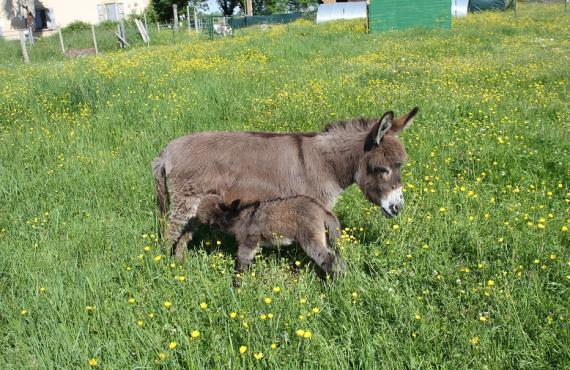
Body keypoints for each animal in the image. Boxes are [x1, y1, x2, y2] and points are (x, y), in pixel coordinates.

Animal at [193, 195, 344, 278]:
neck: (239, 216)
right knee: (337, 257)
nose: (210, 228)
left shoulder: (248, 241)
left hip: (311, 238)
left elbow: (242, 262)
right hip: (326, 238)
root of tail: (322, 210)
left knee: (328, 259)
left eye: (212, 213)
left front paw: (237, 283)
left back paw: (332, 284)